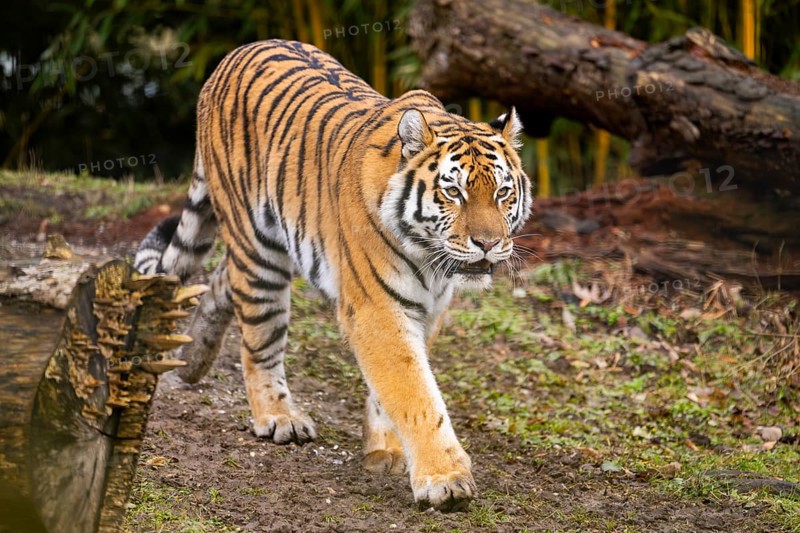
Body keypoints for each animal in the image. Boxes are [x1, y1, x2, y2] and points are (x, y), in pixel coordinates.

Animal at [134, 39, 532, 511]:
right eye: (454, 192)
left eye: (503, 192)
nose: (488, 243)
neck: (431, 258)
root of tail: (235, 53)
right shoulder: (377, 309)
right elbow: (415, 392)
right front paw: (445, 479)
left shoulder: (429, 309)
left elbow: (391, 389)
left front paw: (386, 451)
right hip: (258, 250)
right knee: (259, 338)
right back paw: (278, 417)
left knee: (220, 283)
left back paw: (193, 358)